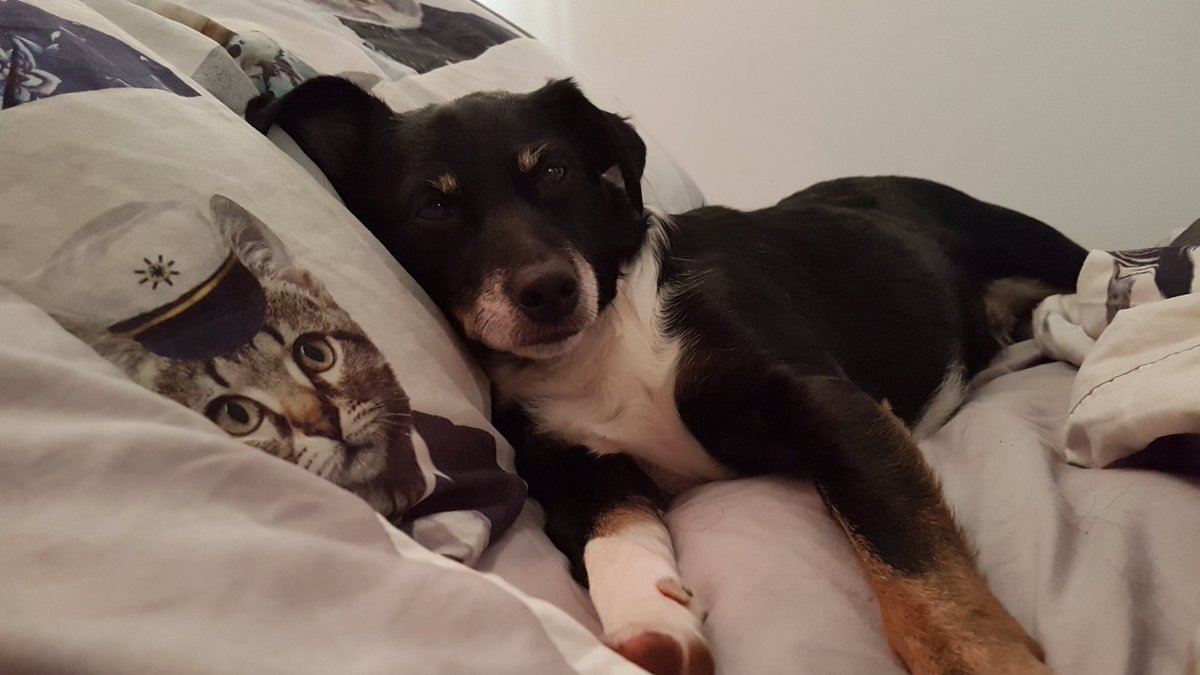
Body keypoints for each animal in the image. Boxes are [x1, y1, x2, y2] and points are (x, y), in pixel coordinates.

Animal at [248, 76, 1086, 675]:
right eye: (433, 204)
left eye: (555, 169)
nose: (550, 290)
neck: (601, 341)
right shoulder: (571, 466)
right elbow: (612, 534)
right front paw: (654, 620)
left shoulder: (831, 404)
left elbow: (913, 564)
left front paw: (985, 660)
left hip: (1049, 252)